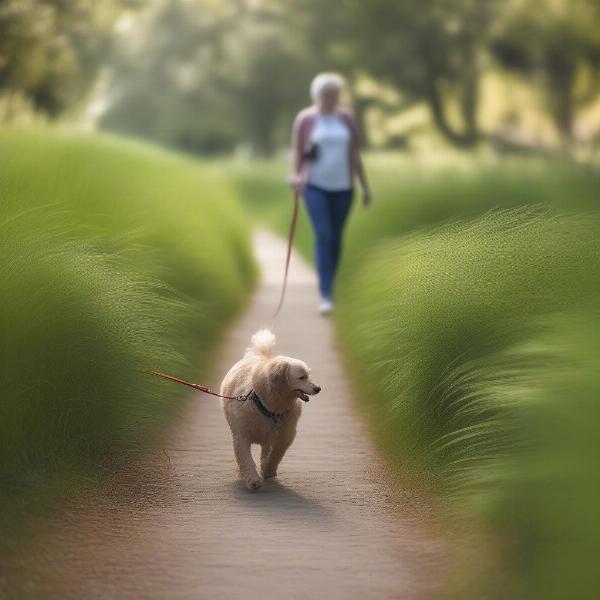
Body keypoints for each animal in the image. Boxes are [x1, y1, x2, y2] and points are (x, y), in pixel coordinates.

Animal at [220, 328, 322, 492]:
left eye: (308, 375)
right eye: (301, 377)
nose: (318, 388)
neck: (269, 407)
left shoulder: (285, 435)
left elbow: (276, 454)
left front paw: (268, 470)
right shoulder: (241, 436)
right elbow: (246, 459)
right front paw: (253, 480)